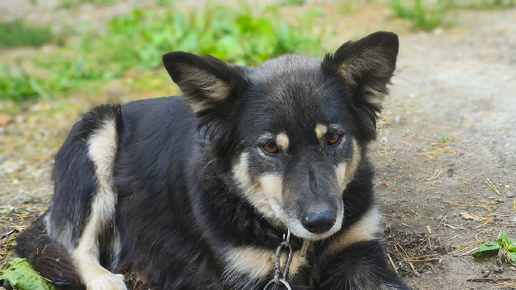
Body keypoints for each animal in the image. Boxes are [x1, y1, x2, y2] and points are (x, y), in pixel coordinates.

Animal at [15, 30, 408, 288]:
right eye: (269, 148)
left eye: (333, 138)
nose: (322, 222)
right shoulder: (252, 275)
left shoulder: (360, 252)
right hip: (98, 133)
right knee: (76, 247)